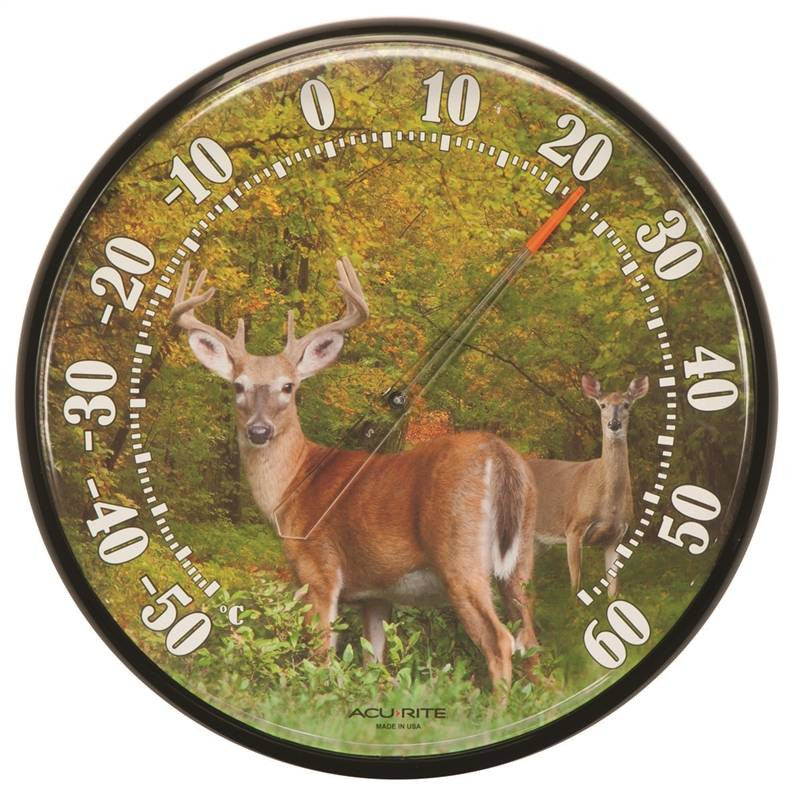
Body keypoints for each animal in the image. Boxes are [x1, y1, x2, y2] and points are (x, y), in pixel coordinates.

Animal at [170, 256, 540, 691]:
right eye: (238, 386)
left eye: (288, 387)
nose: (259, 431)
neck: (294, 485)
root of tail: (500, 454)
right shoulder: (374, 594)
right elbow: (374, 665)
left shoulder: (318, 570)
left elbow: (321, 657)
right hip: (521, 561)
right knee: (530, 641)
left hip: (460, 556)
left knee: (500, 641)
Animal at [526, 373, 649, 598]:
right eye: (602, 405)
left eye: (626, 404)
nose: (614, 424)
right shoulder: (573, 528)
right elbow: (575, 582)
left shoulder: (616, 536)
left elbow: (613, 588)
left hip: (536, 542)